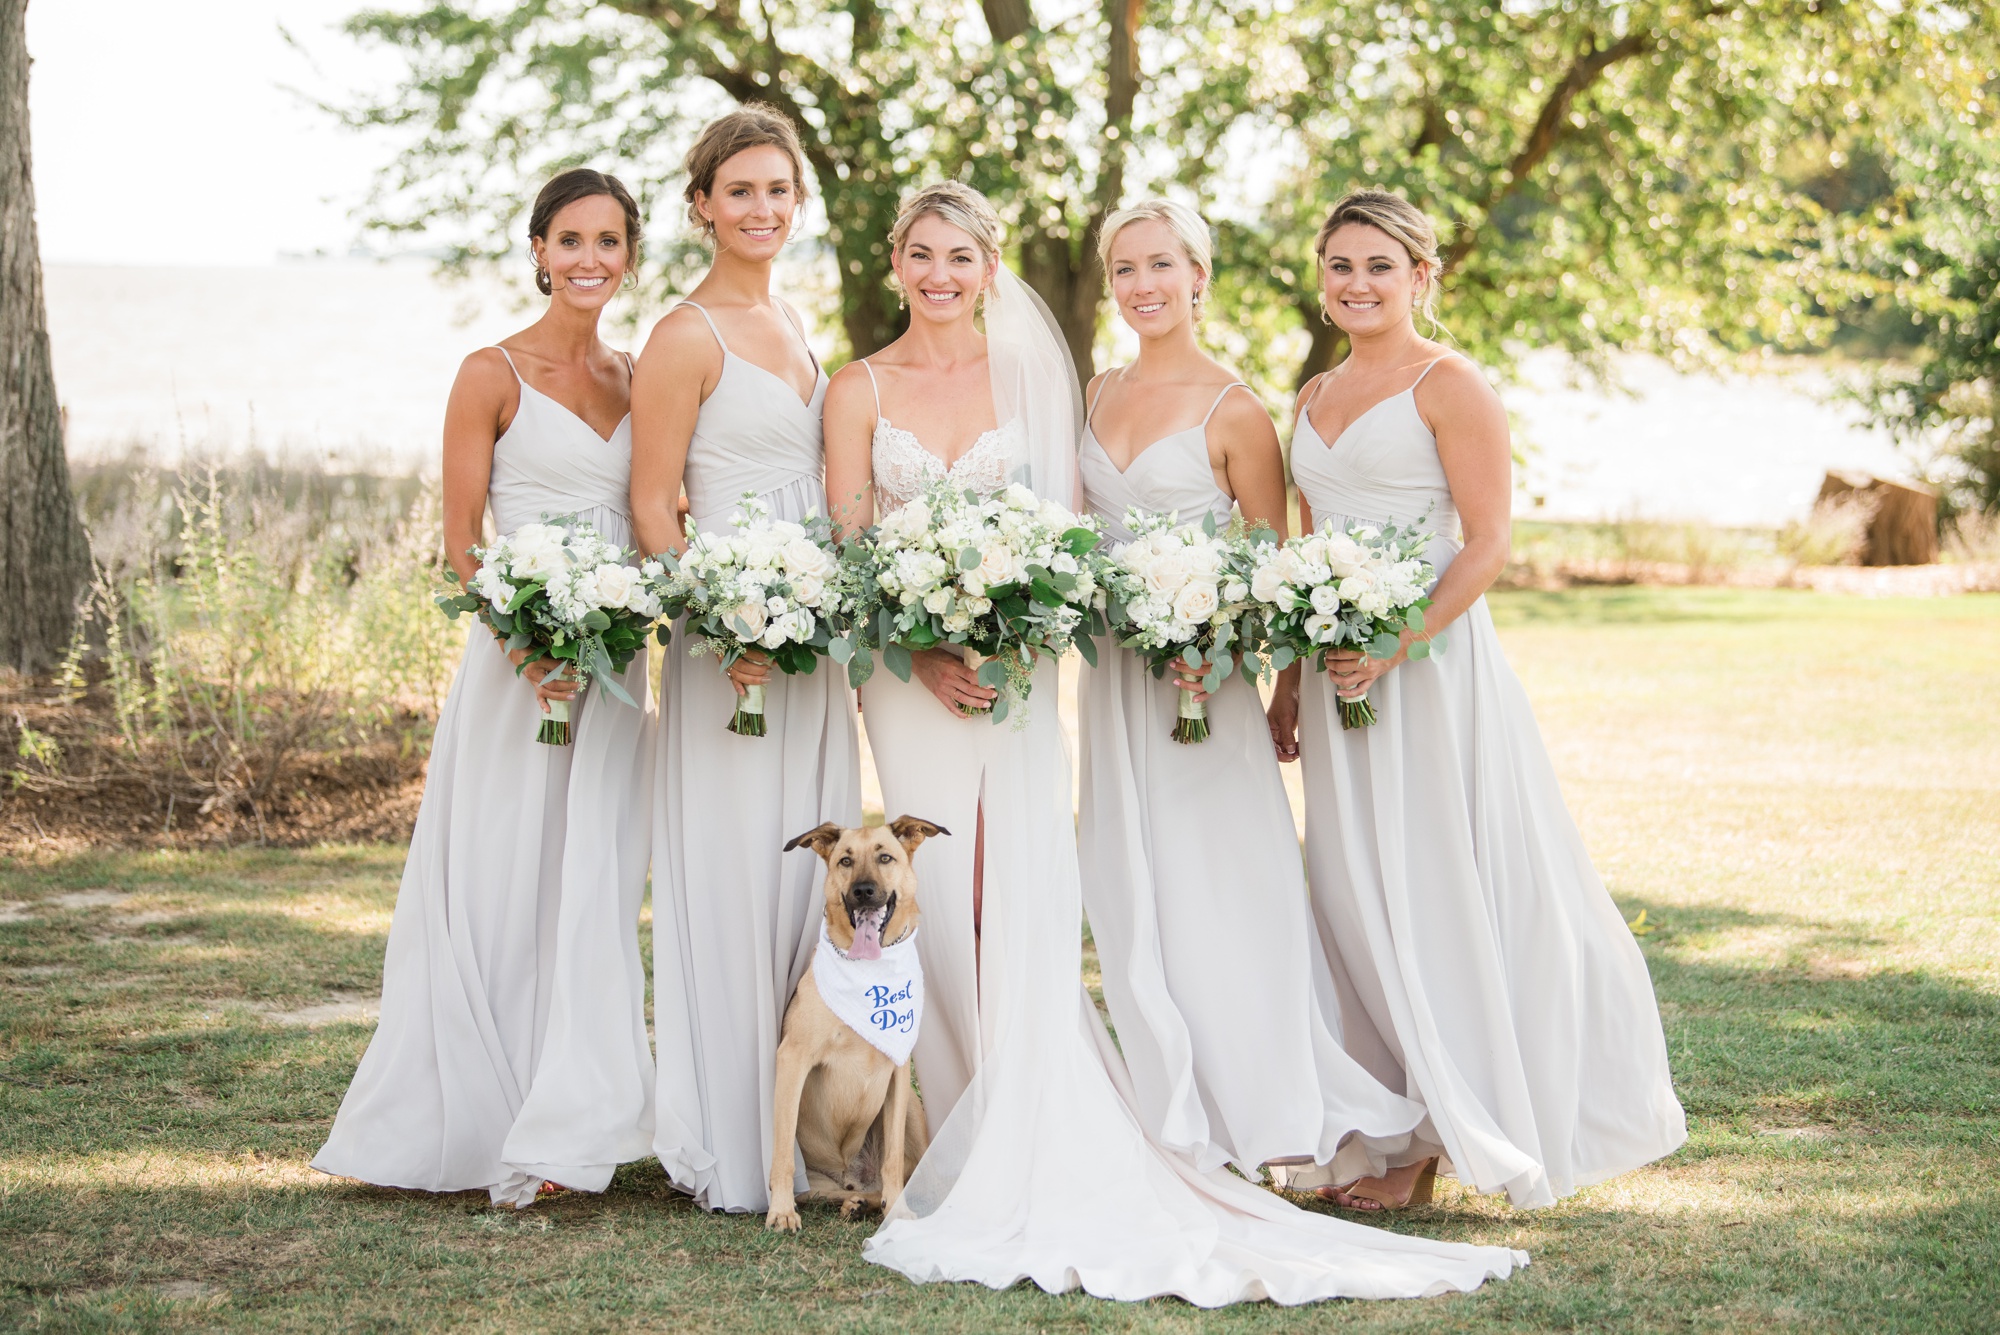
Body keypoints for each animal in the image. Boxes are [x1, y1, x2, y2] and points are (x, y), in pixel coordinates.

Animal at [768, 815, 948, 1231]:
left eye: (885, 857)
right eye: (845, 861)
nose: (863, 892)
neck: (868, 971)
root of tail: (852, 1173)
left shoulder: (898, 1071)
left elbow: (893, 1160)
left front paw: (897, 1210)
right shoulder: (792, 1059)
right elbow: (782, 1153)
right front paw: (780, 1211)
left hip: (912, 1107)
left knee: (907, 1173)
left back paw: (875, 1202)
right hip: (819, 1181)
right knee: (830, 1190)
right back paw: (854, 1202)